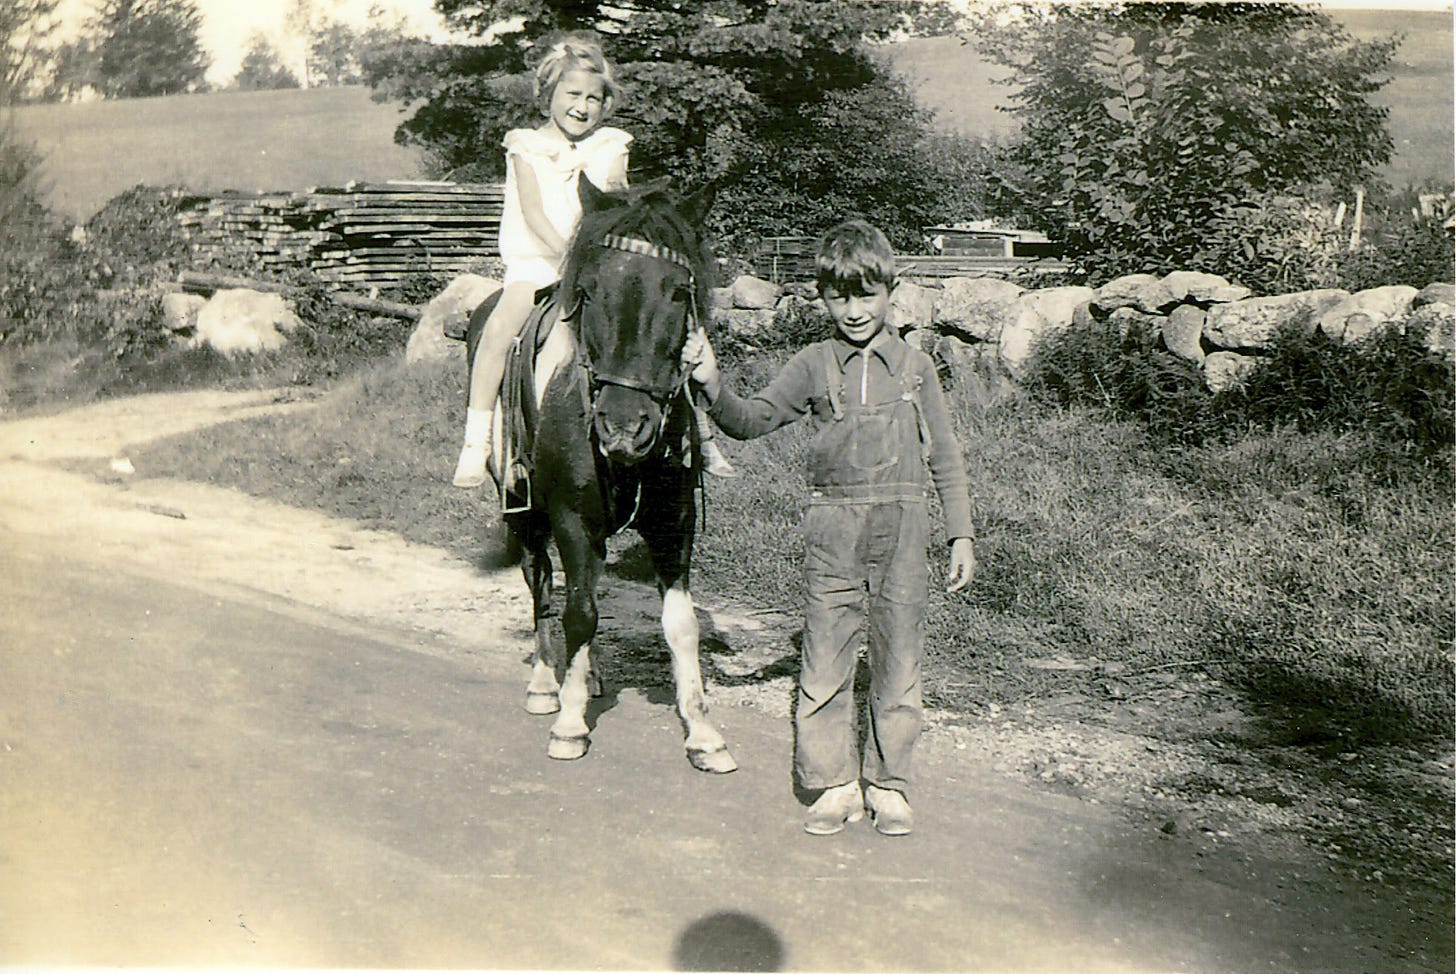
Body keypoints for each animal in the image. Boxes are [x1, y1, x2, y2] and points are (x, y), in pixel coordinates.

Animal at [465, 176, 739, 774]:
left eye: (678, 293)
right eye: (588, 291)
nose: (623, 427)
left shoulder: (673, 521)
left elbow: (680, 626)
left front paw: (703, 733)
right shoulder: (572, 517)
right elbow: (579, 613)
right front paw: (570, 725)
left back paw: (586, 677)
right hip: (523, 510)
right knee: (542, 583)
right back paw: (547, 683)